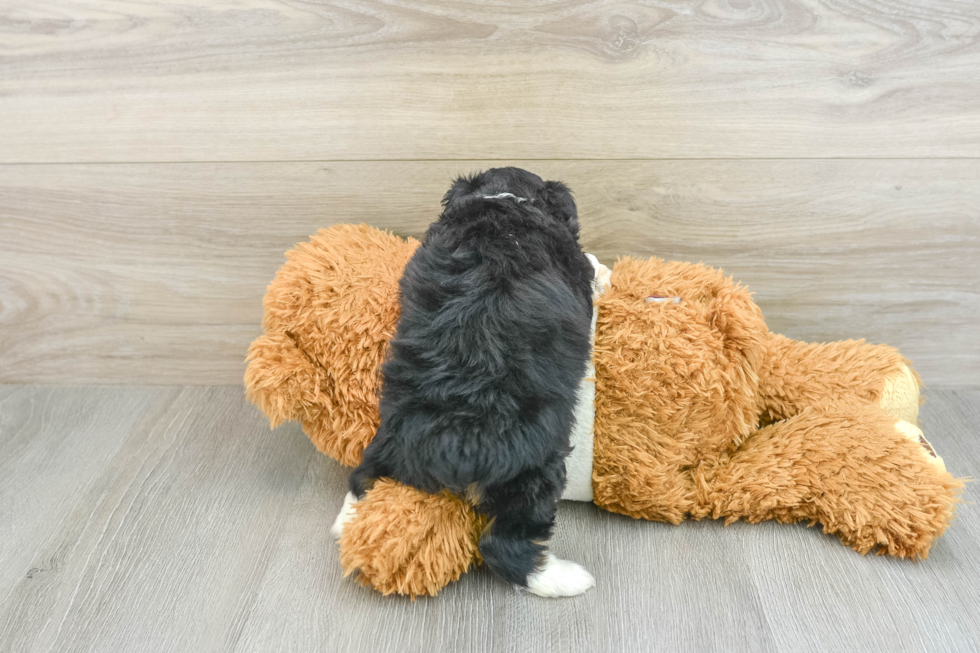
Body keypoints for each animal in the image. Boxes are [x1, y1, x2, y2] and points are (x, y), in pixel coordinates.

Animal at [334, 167, 596, 596]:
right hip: (536, 469)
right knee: (505, 544)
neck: (506, 201)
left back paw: (346, 522)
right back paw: (564, 578)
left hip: (391, 433)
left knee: (364, 474)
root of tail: (456, 443)